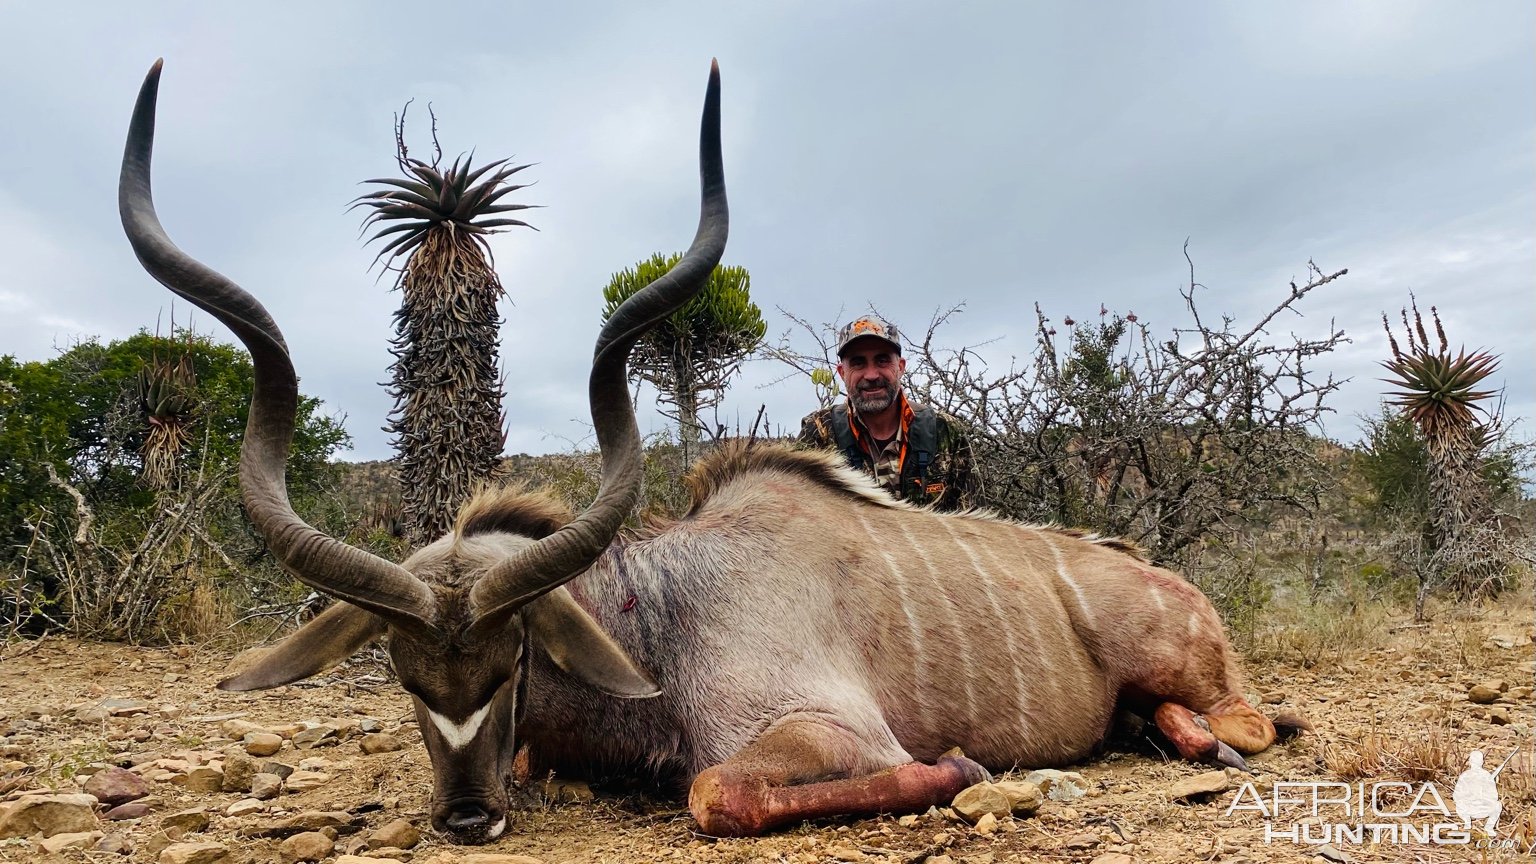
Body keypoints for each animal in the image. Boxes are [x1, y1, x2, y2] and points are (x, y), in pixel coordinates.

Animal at [119, 60, 1302, 842]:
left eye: (511, 661)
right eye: (403, 673)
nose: (465, 818)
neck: (659, 609)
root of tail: (1171, 585)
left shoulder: (822, 733)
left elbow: (715, 789)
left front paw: (963, 764)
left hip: (1186, 666)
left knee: (1247, 718)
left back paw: (1199, 737)